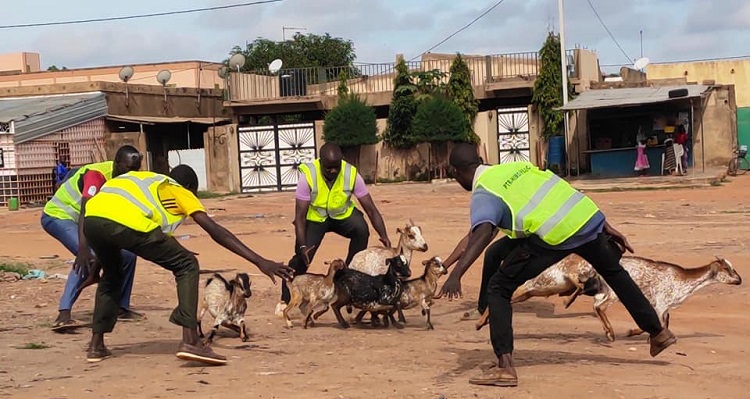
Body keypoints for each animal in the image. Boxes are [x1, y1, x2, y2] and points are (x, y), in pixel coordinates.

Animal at [478, 255, 744, 342]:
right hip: (608, 291)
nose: (740, 280)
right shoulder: (660, 301)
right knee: (599, 306)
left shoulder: (665, 306)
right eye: (729, 269)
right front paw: (633, 332)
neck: (684, 280)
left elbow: (664, 322)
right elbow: (658, 322)